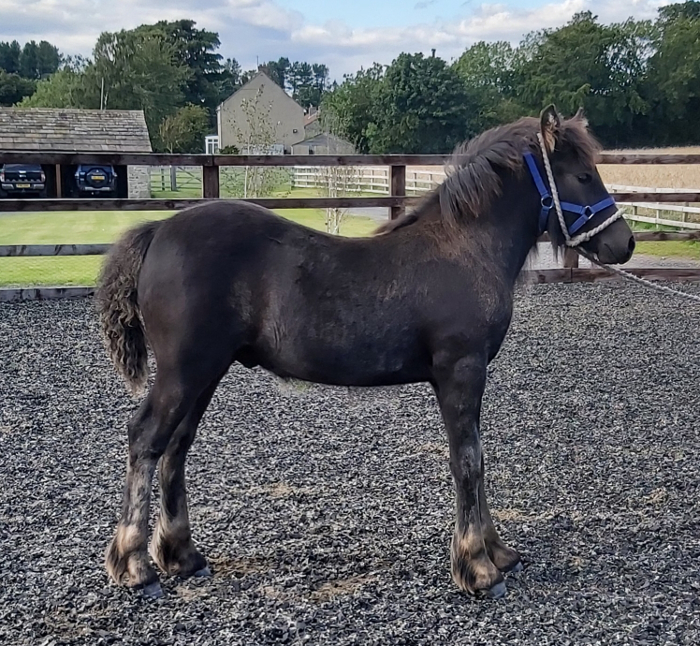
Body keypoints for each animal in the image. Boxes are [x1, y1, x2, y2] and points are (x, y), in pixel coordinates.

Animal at [95, 107, 636, 604]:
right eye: (583, 175)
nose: (625, 243)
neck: (466, 248)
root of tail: (159, 231)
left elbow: (477, 458)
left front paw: (497, 552)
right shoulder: (461, 371)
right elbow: (467, 460)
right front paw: (478, 567)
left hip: (205, 373)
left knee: (177, 446)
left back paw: (181, 556)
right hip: (185, 371)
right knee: (146, 438)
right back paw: (135, 567)